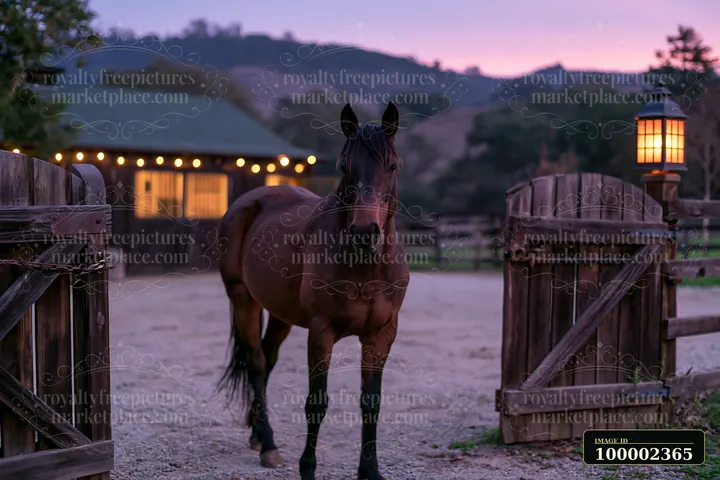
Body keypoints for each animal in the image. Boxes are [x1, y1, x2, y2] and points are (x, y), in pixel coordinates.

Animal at [217, 101, 410, 480]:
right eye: (344, 165)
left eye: (392, 165)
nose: (364, 233)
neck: (365, 266)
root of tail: (248, 201)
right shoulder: (322, 333)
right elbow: (316, 403)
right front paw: (307, 469)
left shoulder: (382, 334)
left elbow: (371, 402)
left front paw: (370, 471)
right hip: (243, 300)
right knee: (257, 365)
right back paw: (269, 446)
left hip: (280, 314)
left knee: (267, 359)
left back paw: (258, 436)